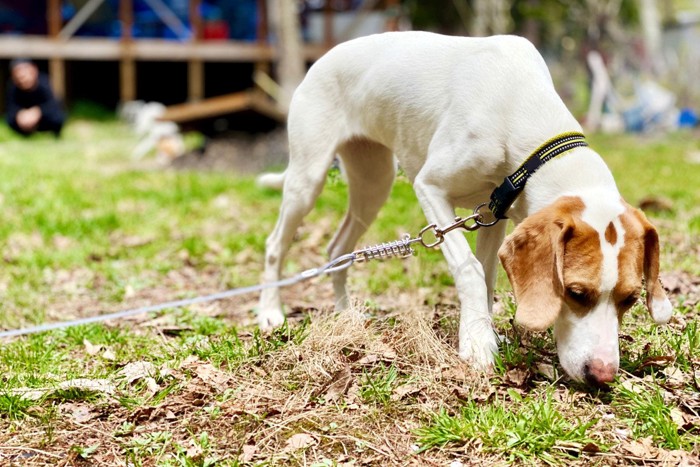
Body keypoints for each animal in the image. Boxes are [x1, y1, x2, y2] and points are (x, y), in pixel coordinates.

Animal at [258, 31, 672, 386]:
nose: (602, 374)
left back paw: (346, 315)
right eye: (577, 293)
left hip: (373, 183)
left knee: (338, 248)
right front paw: (476, 343)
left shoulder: (493, 213)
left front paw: (481, 328)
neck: (518, 105)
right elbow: (470, 270)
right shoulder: (431, 189)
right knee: (276, 244)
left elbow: (487, 277)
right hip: (308, 179)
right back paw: (270, 312)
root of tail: (321, 59)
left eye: (630, 299)